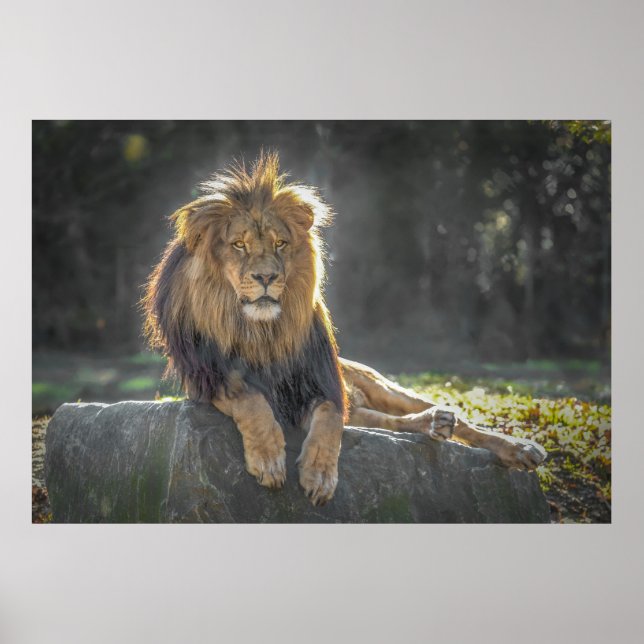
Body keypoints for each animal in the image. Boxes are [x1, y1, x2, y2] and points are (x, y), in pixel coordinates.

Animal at [142, 152, 546, 506]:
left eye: (280, 243)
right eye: (239, 245)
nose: (267, 277)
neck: (262, 330)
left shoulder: (322, 382)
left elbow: (330, 420)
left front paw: (320, 475)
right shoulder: (209, 377)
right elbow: (250, 399)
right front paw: (269, 457)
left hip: (374, 382)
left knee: (434, 416)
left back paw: (513, 445)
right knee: (389, 422)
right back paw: (433, 424)